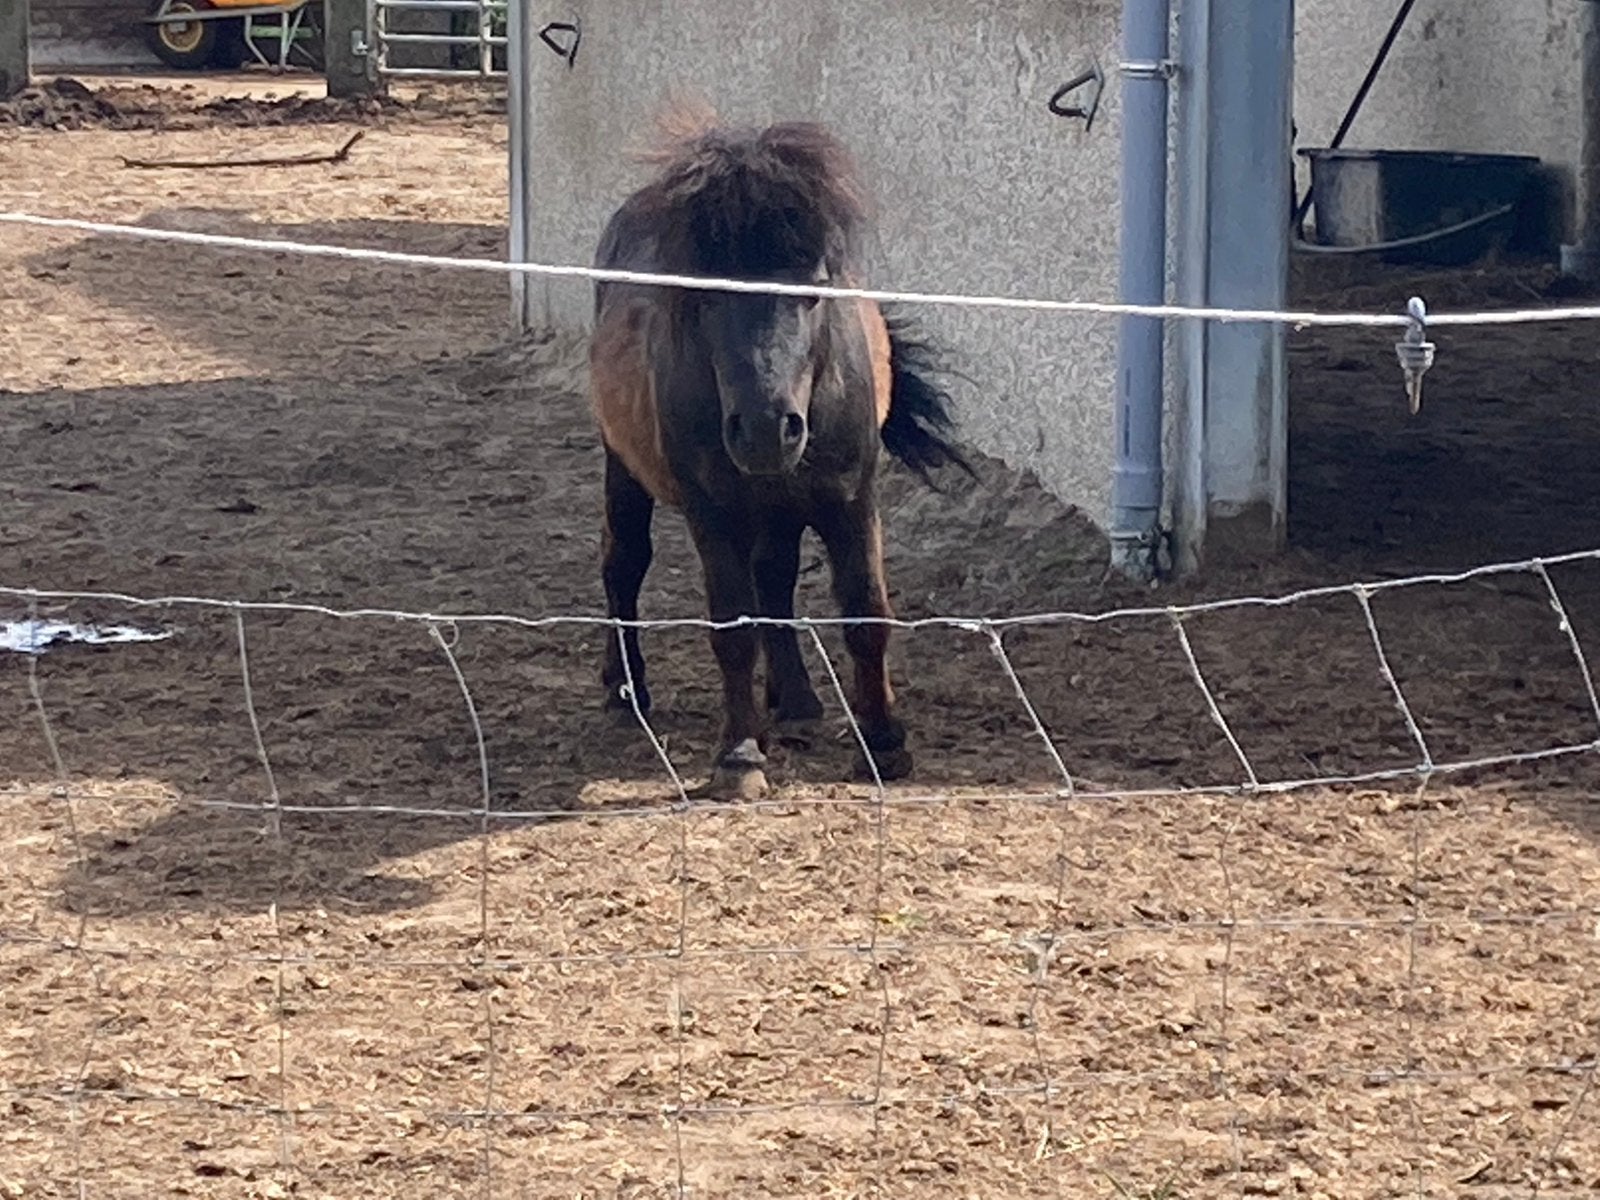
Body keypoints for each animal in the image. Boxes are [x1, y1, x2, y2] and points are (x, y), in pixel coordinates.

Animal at [586, 103, 974, 798]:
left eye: (815, 288)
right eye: (704, 293)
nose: (767, 429)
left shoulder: (851, 500)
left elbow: (865, 612)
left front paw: (884, 743)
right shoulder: (712, 513)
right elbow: (732, 628)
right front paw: (740, 756)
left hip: (782, 505)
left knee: (774, 578)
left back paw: (794, 700)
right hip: (623, 466)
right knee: (623, 562)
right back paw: (627, 691)